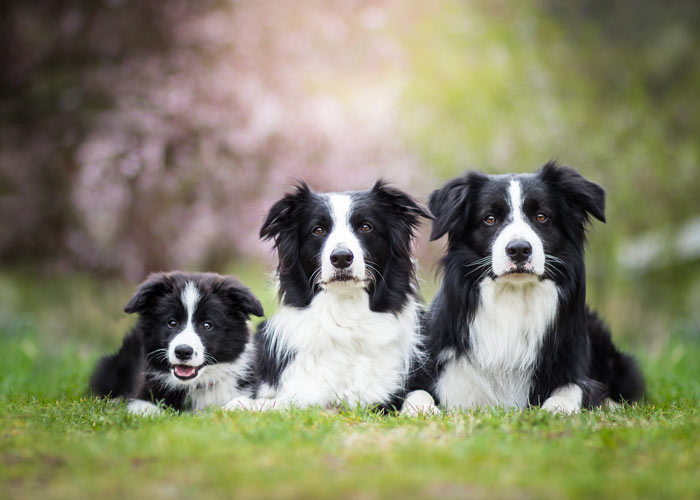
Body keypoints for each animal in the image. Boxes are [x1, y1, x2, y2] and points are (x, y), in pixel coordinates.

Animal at [424, 162, 644, 412]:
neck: (514, 299)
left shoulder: (571, 365)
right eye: (489, 218)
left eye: (541, 216)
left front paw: (555, 409)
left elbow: (572, 389)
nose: (519, 249)